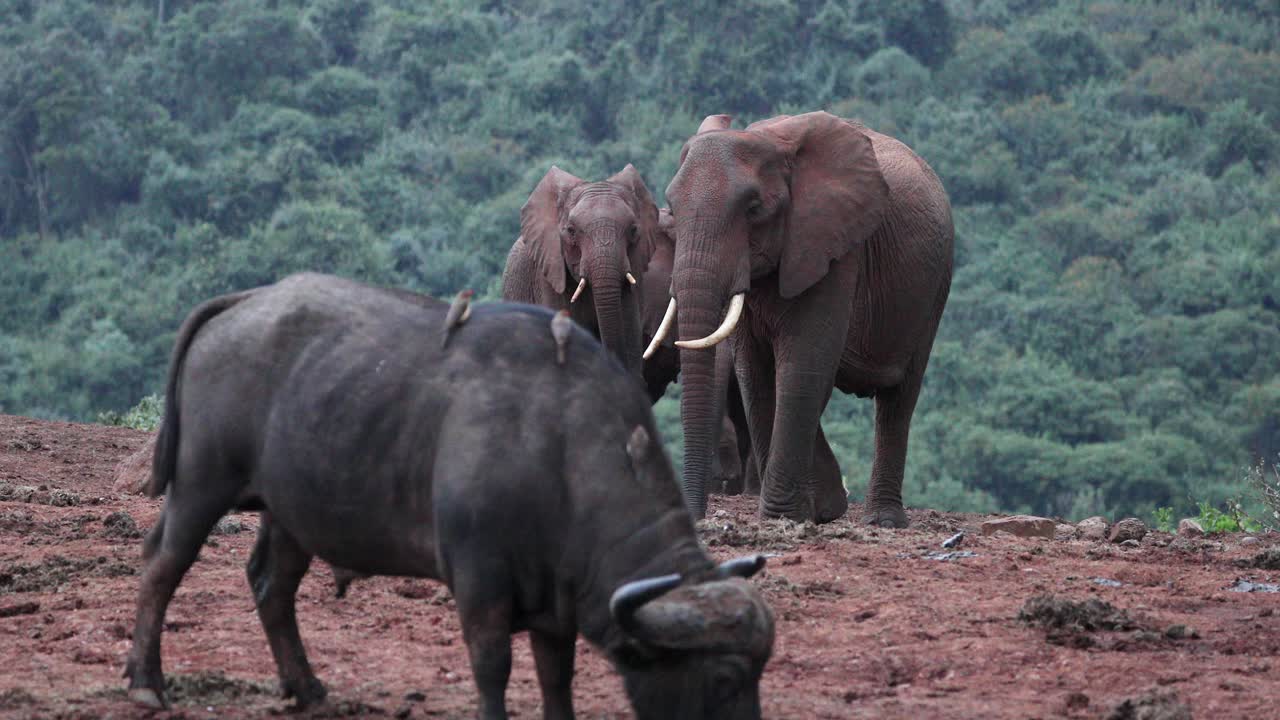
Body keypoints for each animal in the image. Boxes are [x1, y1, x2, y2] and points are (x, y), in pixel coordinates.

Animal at [650, 111, 953, 526]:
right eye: (672, 209)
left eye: (753, 209)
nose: (695, 518)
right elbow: (756, 374)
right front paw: (816, 510)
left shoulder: (832, 245)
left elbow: (803, 364)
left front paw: (784, 516)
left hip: (934, 287)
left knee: (898, 398)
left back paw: (883, 520)